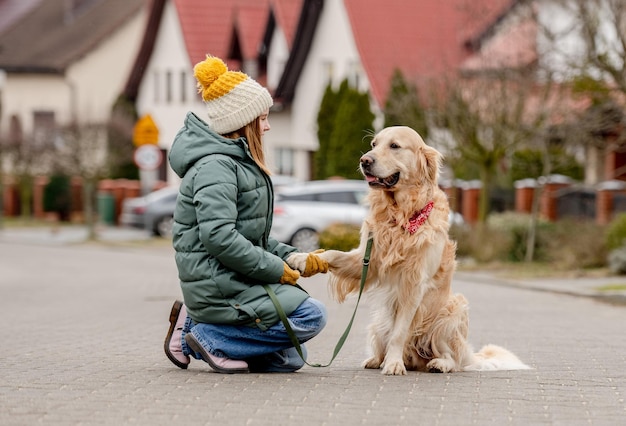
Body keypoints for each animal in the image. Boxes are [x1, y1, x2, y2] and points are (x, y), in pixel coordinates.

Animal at [300, 126, 528, 376]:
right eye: (373, 144)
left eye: (394, 146)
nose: (364, 161)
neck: (401, 215)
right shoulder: (367, 259)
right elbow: (333, 254)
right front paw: (302, 259)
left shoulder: (414, 283)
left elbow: (399, 333)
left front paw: (393, 363)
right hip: (379, 322)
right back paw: (376, 359)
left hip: (451, 312)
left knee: (453, 359)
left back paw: (438, 363)